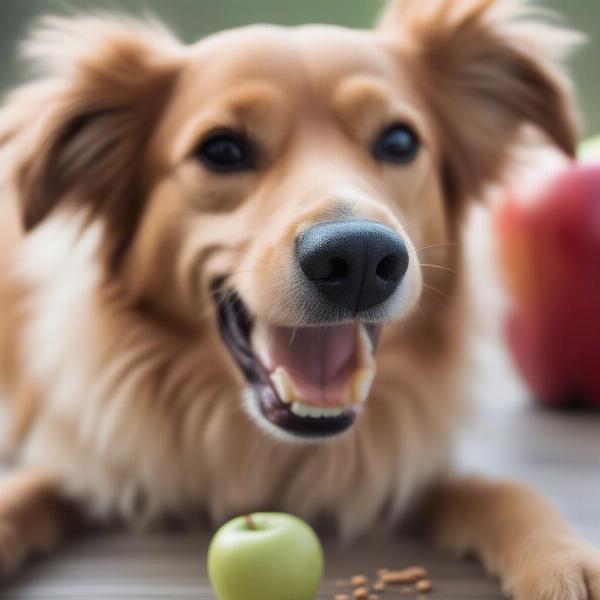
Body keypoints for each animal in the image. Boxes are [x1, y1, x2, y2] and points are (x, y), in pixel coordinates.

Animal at [0, 1, 596, 596]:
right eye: (222, 149)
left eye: (399, 142)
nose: (358, 258)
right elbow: (19, 495)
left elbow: (508, 492)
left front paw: (564, 560)